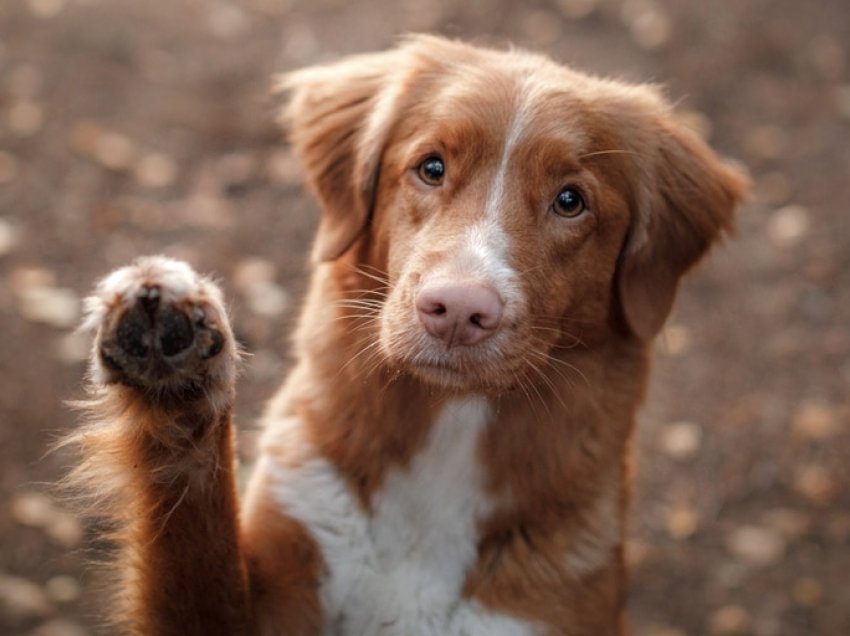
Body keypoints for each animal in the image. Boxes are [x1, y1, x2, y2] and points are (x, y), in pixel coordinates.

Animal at [68, 36, 744, 636]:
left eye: (571, 200)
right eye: (431, 168)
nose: (458, 310)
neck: (445, 435)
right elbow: (192, 535)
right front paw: (173, 361)